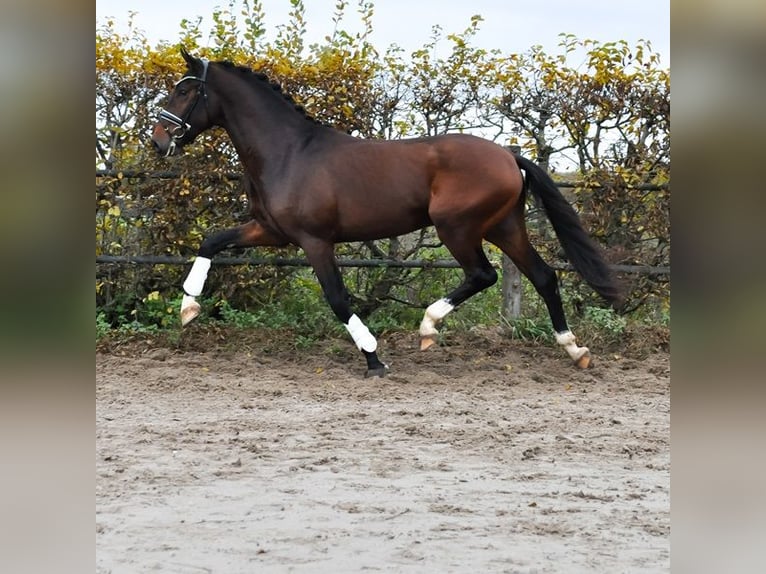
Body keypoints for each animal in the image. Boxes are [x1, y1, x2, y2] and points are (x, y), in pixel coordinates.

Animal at [152, 48, 624, 378]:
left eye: (184, 90)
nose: (158, 139)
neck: (289, 152)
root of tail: (509, 156)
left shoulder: (314, 241)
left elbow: (338, 299)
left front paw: (374, 358)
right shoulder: (270, 229)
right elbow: (211, 241)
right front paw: (188, 308)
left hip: (457, 226)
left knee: (483, 275)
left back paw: (429, 328)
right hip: (504, 227)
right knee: (544, 277)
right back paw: (576, 351)